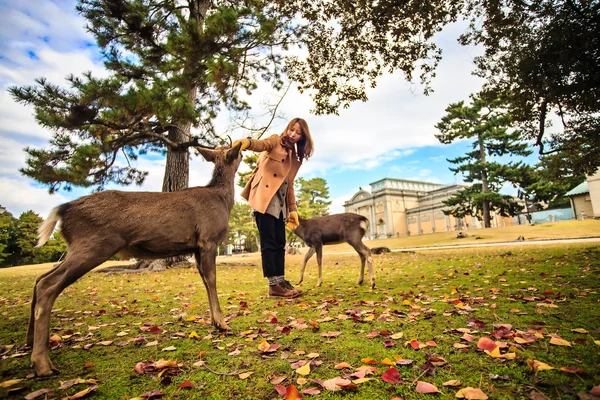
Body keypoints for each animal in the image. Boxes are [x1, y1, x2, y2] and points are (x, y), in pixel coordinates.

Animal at [30, 145, 241, 378]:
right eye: (237, 153)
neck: (221, 200)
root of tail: (62, 209)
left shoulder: (195, 247)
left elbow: (204, 280)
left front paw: (214, 321)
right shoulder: (208, 239)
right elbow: (212, 279)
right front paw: (222, 323)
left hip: (80, 246)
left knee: (40, 278)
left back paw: (30, 347)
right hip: (93, 243)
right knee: (47, 283)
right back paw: (42, 364)